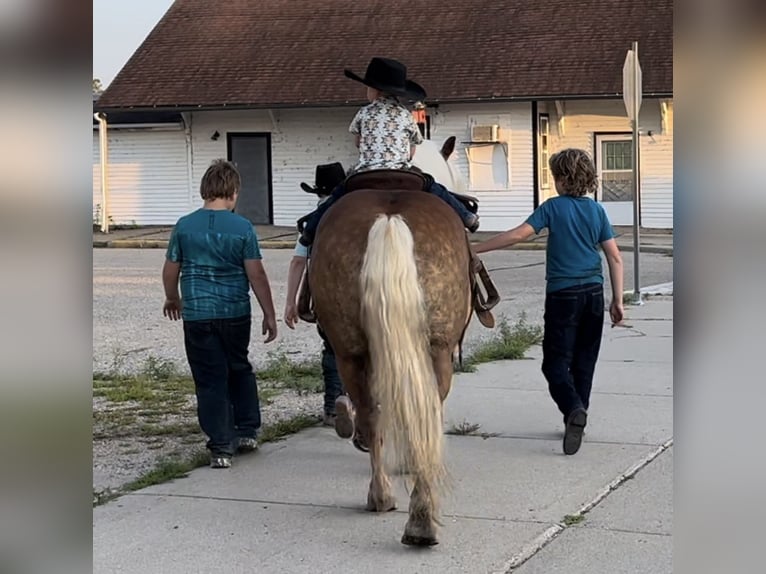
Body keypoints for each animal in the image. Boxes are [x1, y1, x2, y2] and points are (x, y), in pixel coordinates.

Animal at [308, 137, 476, 548]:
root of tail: (388, 220)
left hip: (350, 351)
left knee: (372, 410)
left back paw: (397, 502)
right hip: (434, 350)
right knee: (418, 409)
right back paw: (411, 514)